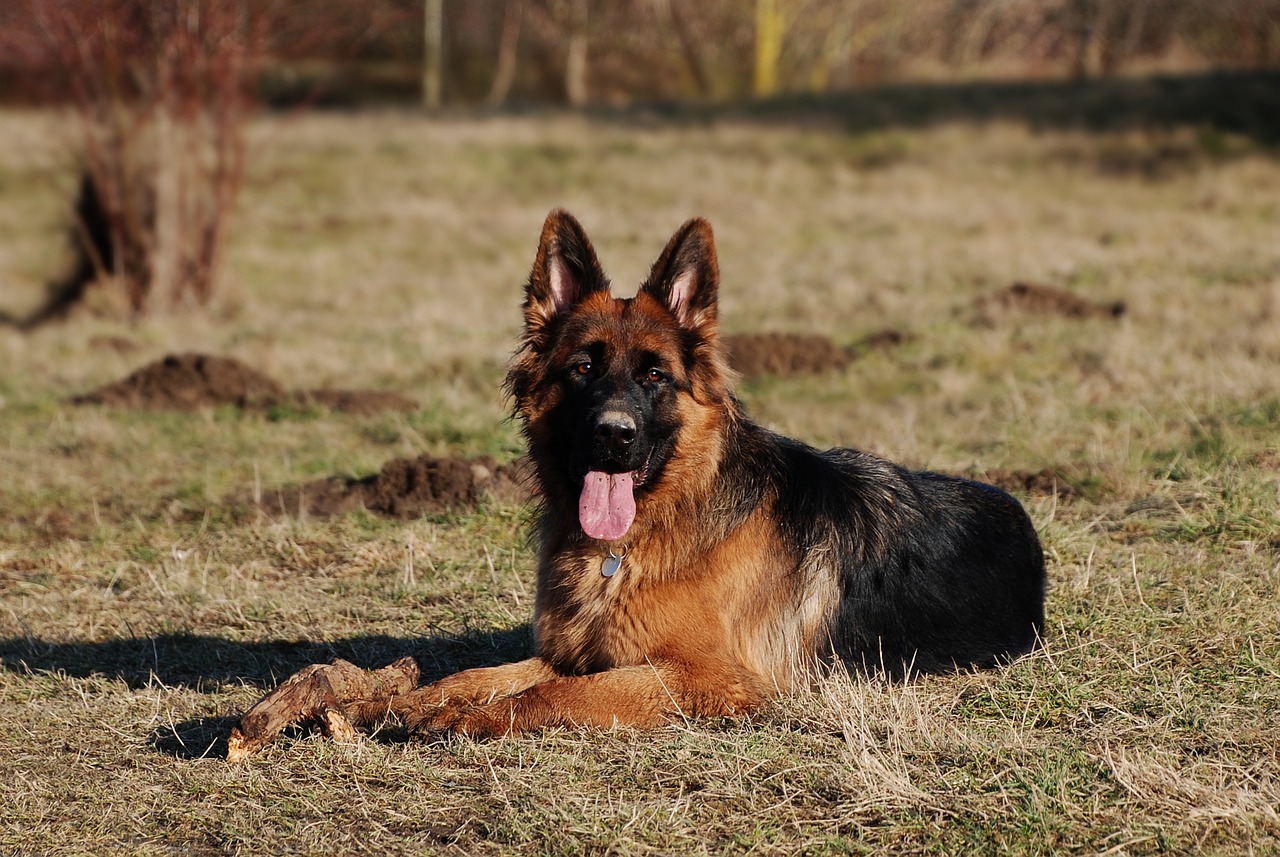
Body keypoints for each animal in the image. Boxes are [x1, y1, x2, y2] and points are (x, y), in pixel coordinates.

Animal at [391, 209, 1049, 736]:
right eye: (582, 368)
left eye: (655, 375)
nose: (613, 434)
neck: (632, 542)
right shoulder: (574, 652)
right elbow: (486, 673)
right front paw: (416, 698)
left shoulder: (702, 677)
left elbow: (556, 693)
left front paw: (469, 716)